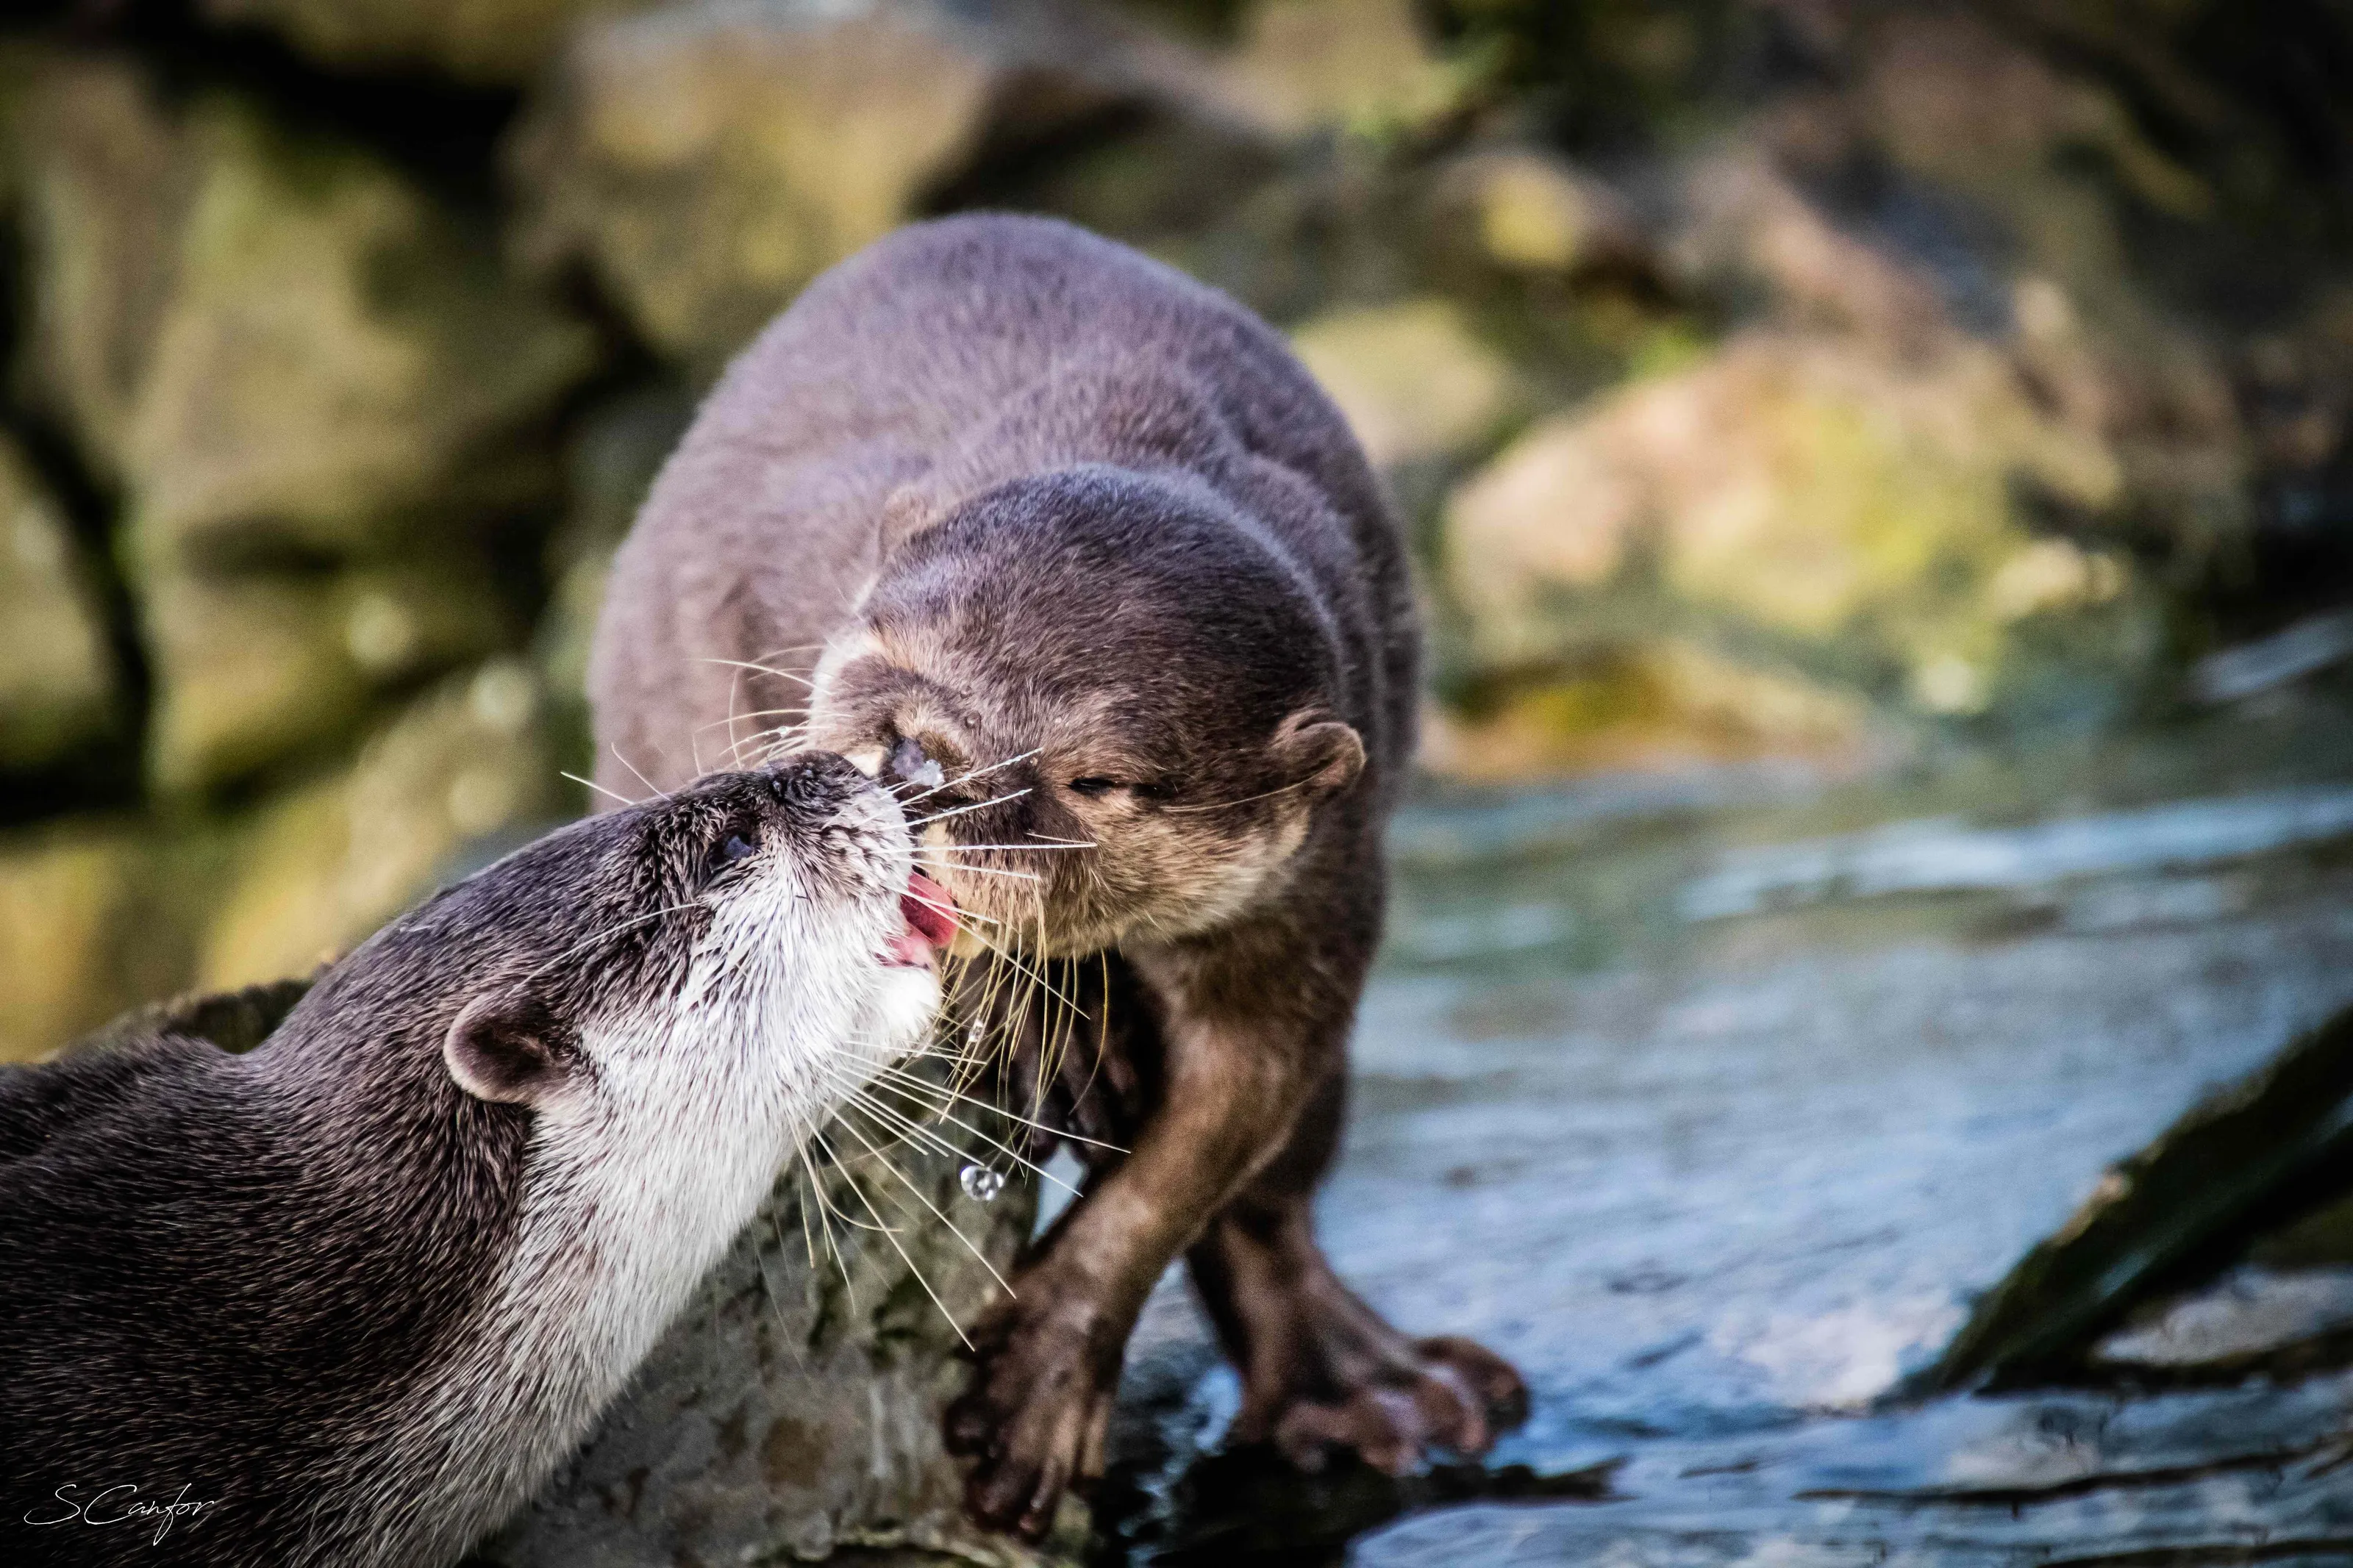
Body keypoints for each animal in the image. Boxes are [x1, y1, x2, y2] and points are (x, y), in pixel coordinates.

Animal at [591, 214, 1526, 1537]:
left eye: (1096, 777)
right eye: (887, 645)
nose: (923, 757)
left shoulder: (1323, 880)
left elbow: (1225, 1119)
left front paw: (1041, 1381)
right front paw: (1045, 1030)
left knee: (1278, 1197)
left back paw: (1365, 1388)